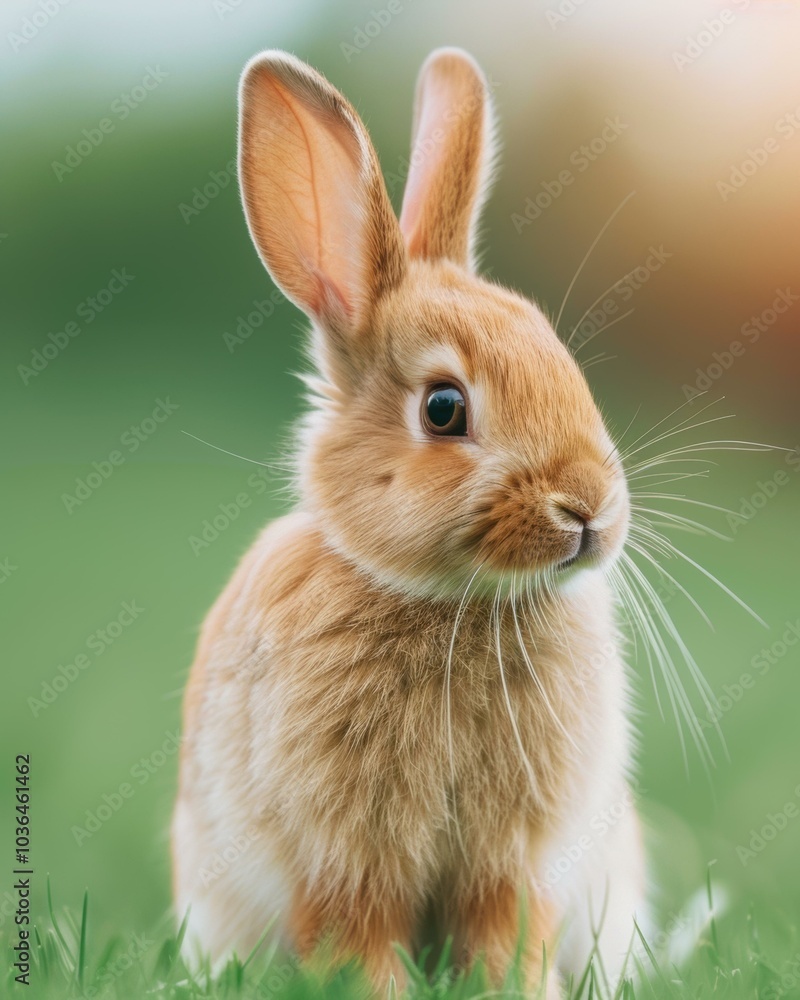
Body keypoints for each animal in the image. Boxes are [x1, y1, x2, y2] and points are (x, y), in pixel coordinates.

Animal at [171, 47, 647, 997]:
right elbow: (359, 943)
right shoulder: (344, 860)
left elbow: (504, 938)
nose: (592, 509)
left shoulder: (514, 866)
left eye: (559, 356)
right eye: (443, 408)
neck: (452, 602)